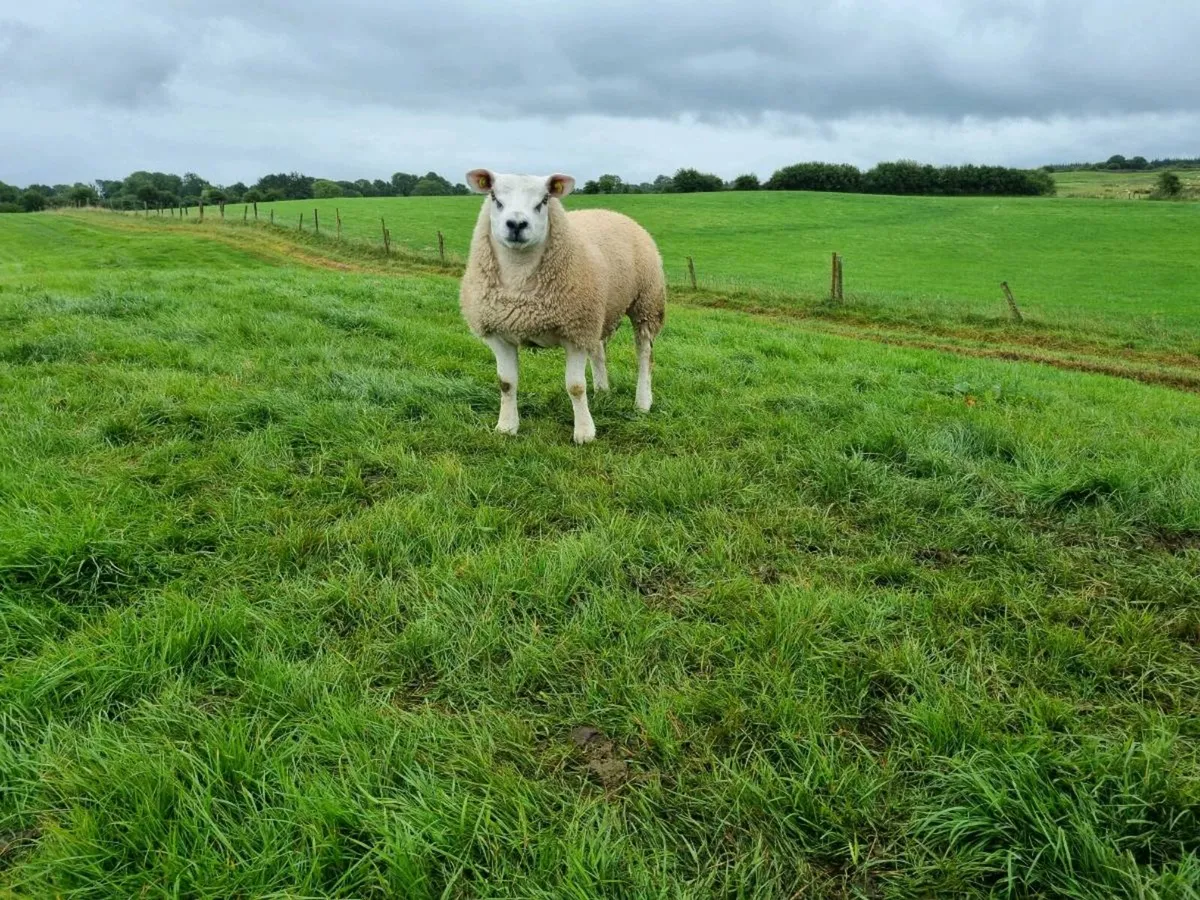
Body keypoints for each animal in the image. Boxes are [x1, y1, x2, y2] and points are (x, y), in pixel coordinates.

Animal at [458, 169, 666, 444]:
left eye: (544, 200)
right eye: (494, 197)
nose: (516, 224)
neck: (519, 278)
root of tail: (610, 211)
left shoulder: (574, 332)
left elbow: (575, 387)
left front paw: (585, 433)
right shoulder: (499, 334)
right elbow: (506, 383)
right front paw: (506, 427)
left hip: (646, 303)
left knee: (644, 354)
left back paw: (642, 402)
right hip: (598, 313)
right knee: (598, 350)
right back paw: (602, 390)